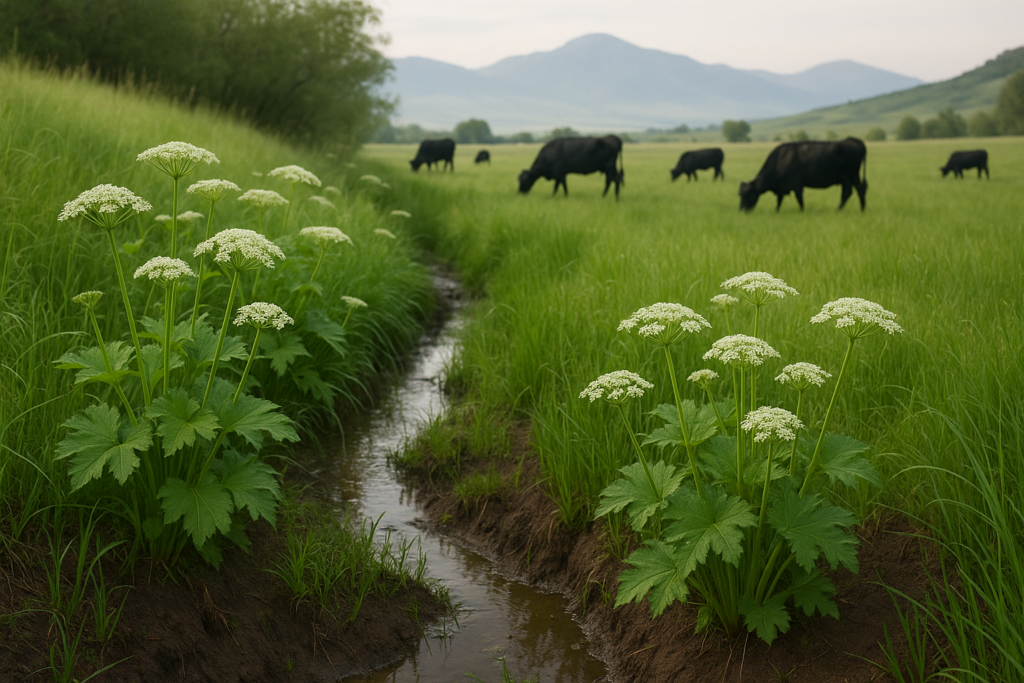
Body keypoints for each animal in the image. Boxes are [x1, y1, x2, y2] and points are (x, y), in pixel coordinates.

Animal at [738, 137, 867, 212]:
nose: (741, 210)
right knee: (859, 190)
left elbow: (799, 199)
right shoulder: (781, 188)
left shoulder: (796, 184)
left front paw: (802, 211)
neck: (780, 160)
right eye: (740, 194)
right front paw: (776, 211)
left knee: (848, 192)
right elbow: (779, 200)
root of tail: (853, 140)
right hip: (851, 177)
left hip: (849, 176)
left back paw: (838, 210)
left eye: (748, 195)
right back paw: (862, 209)